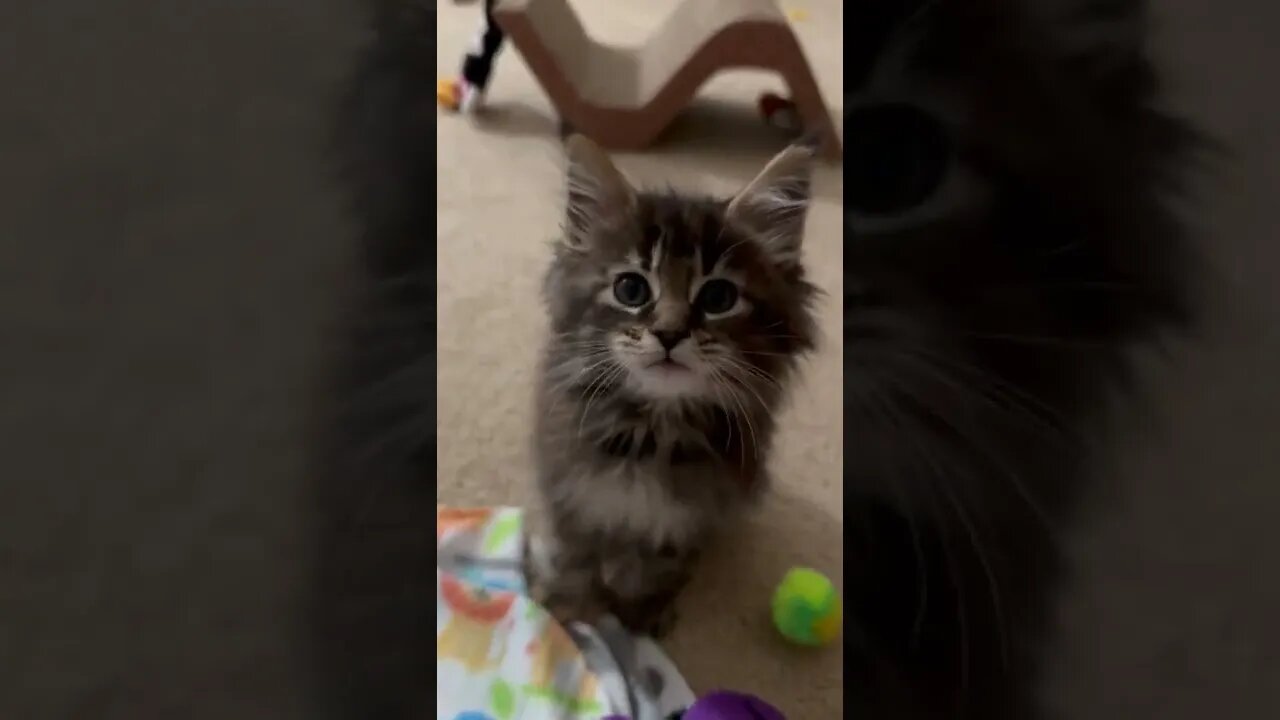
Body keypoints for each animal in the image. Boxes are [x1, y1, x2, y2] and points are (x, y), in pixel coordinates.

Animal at [522, 134, 814, 632]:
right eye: (631, 289)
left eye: (718, 297)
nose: (670, 333)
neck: (653, 431)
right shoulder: (570, 490)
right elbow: (576, 554)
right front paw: (569, 607)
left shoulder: (692, 518)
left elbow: (658, 565)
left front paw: (639, 610)